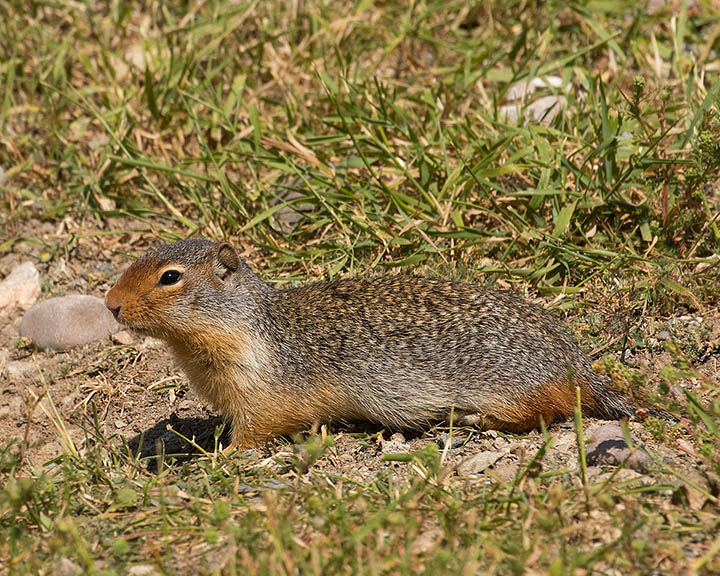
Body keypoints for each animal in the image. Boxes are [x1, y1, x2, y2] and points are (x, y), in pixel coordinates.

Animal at [105, 236, 636, 448]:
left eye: (169, 277)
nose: (110, 303)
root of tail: (577, 362)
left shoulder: (264, 394)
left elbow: (256, 431)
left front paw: (223, 455)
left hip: (511, 387)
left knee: (541, 413)